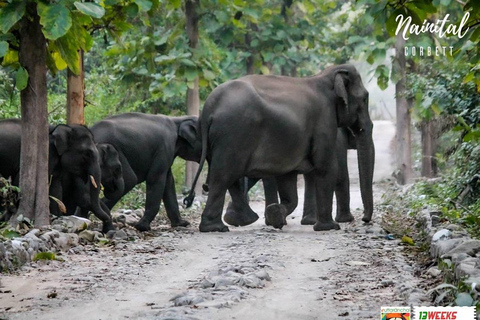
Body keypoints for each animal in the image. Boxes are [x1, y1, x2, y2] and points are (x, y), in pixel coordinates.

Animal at [187, 63, 376, 232]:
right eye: (365, 98)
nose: (365, 219)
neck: (324, 75)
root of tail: (209, 107)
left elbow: (287, 178)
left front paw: (275, 215)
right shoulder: (324, 121)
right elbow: (326, 167)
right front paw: (329, 227)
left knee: (225, 177)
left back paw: (231, 223)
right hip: (234, 134)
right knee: (223, 176)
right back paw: (217, 227)